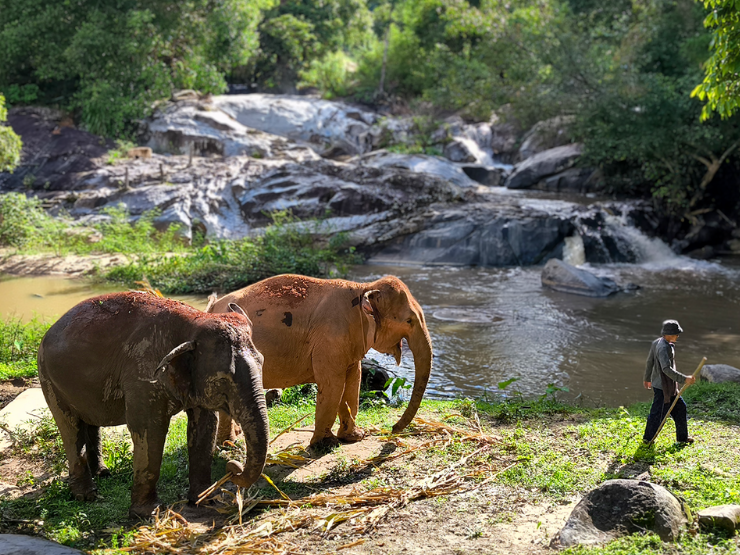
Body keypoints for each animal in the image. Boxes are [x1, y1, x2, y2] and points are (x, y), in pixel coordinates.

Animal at [37, 292, 269, 518]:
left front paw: (205, 501)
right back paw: (87, 496)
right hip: (48, 378)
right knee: (70, 427)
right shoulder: (142, 376)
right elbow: (150, 429)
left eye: (262, 361)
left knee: (89, 421)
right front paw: (148, 513)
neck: (194, 322)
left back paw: (103, 473)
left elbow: (206, 425)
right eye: (223, 379)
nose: (233, 467)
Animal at [207, 274, 433, 448]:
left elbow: (353, 382)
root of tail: (211, 306)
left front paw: (354, 437)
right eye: (409, 321)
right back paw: (229, 444)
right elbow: (333, 385)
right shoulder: (330, 338)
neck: (364, 288)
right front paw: (325, 444)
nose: (393, 430)